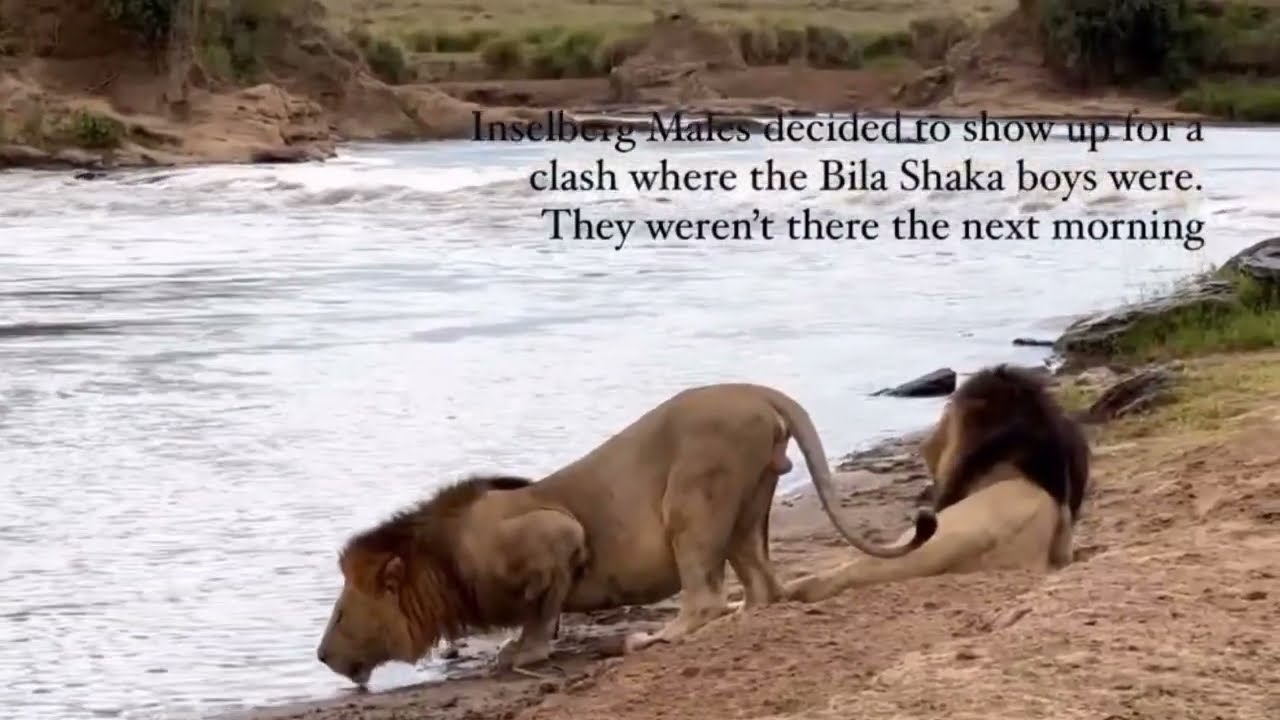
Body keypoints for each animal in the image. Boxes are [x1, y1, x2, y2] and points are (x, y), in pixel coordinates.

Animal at [315, 382, 938, 685]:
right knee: (764, 587)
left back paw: (656, 638)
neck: (440, 561)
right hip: (746, 505)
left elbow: (540, 612)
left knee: (706, 596)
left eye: (341, 615)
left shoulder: (556, 533)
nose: (319, 657)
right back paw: (741, 614)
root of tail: (755, 389)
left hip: (694, 494)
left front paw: (522, 653)